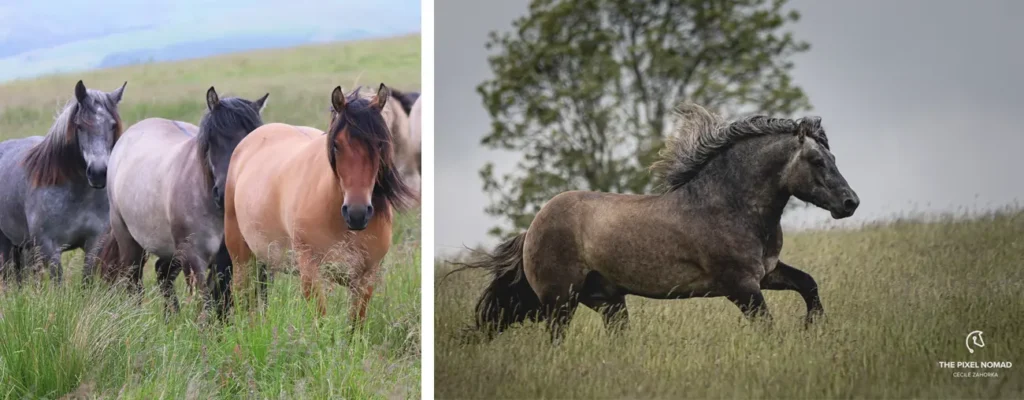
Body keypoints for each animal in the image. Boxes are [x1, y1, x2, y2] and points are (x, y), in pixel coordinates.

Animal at [0, 80, 126, 286]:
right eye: (80, 126)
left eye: (112, 125)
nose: (98, 173)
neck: (79, 195)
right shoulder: (50, 248)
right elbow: (58, 284)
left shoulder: (94, 243)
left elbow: (86, 281)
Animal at [99, 86, 267, 316]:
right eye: (213, 139)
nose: (225, 193)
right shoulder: (193, 257)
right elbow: (204, 303)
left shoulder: (225, 259)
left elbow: (221, 303)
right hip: (128, 240)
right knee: (134, 281)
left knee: (163, 274)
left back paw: (172, 318)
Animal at [224, 84, 414, 325]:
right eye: (336, 145)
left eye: (380, 144)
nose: (357, 213)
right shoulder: (311, 272)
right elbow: (320, 324)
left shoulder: (366, 279)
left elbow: (354, 327)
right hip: (242, 257)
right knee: (242, 297)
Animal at [458, 103, 860, 342]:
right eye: (816, 160)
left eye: (833, 158)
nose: (850, 203)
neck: (729, 205)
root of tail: (532, 228)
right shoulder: (741, 285)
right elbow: (767, 327)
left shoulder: (767, 273)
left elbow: (808, 284)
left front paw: (815, 327)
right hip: (560, 301)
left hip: (607, 301)